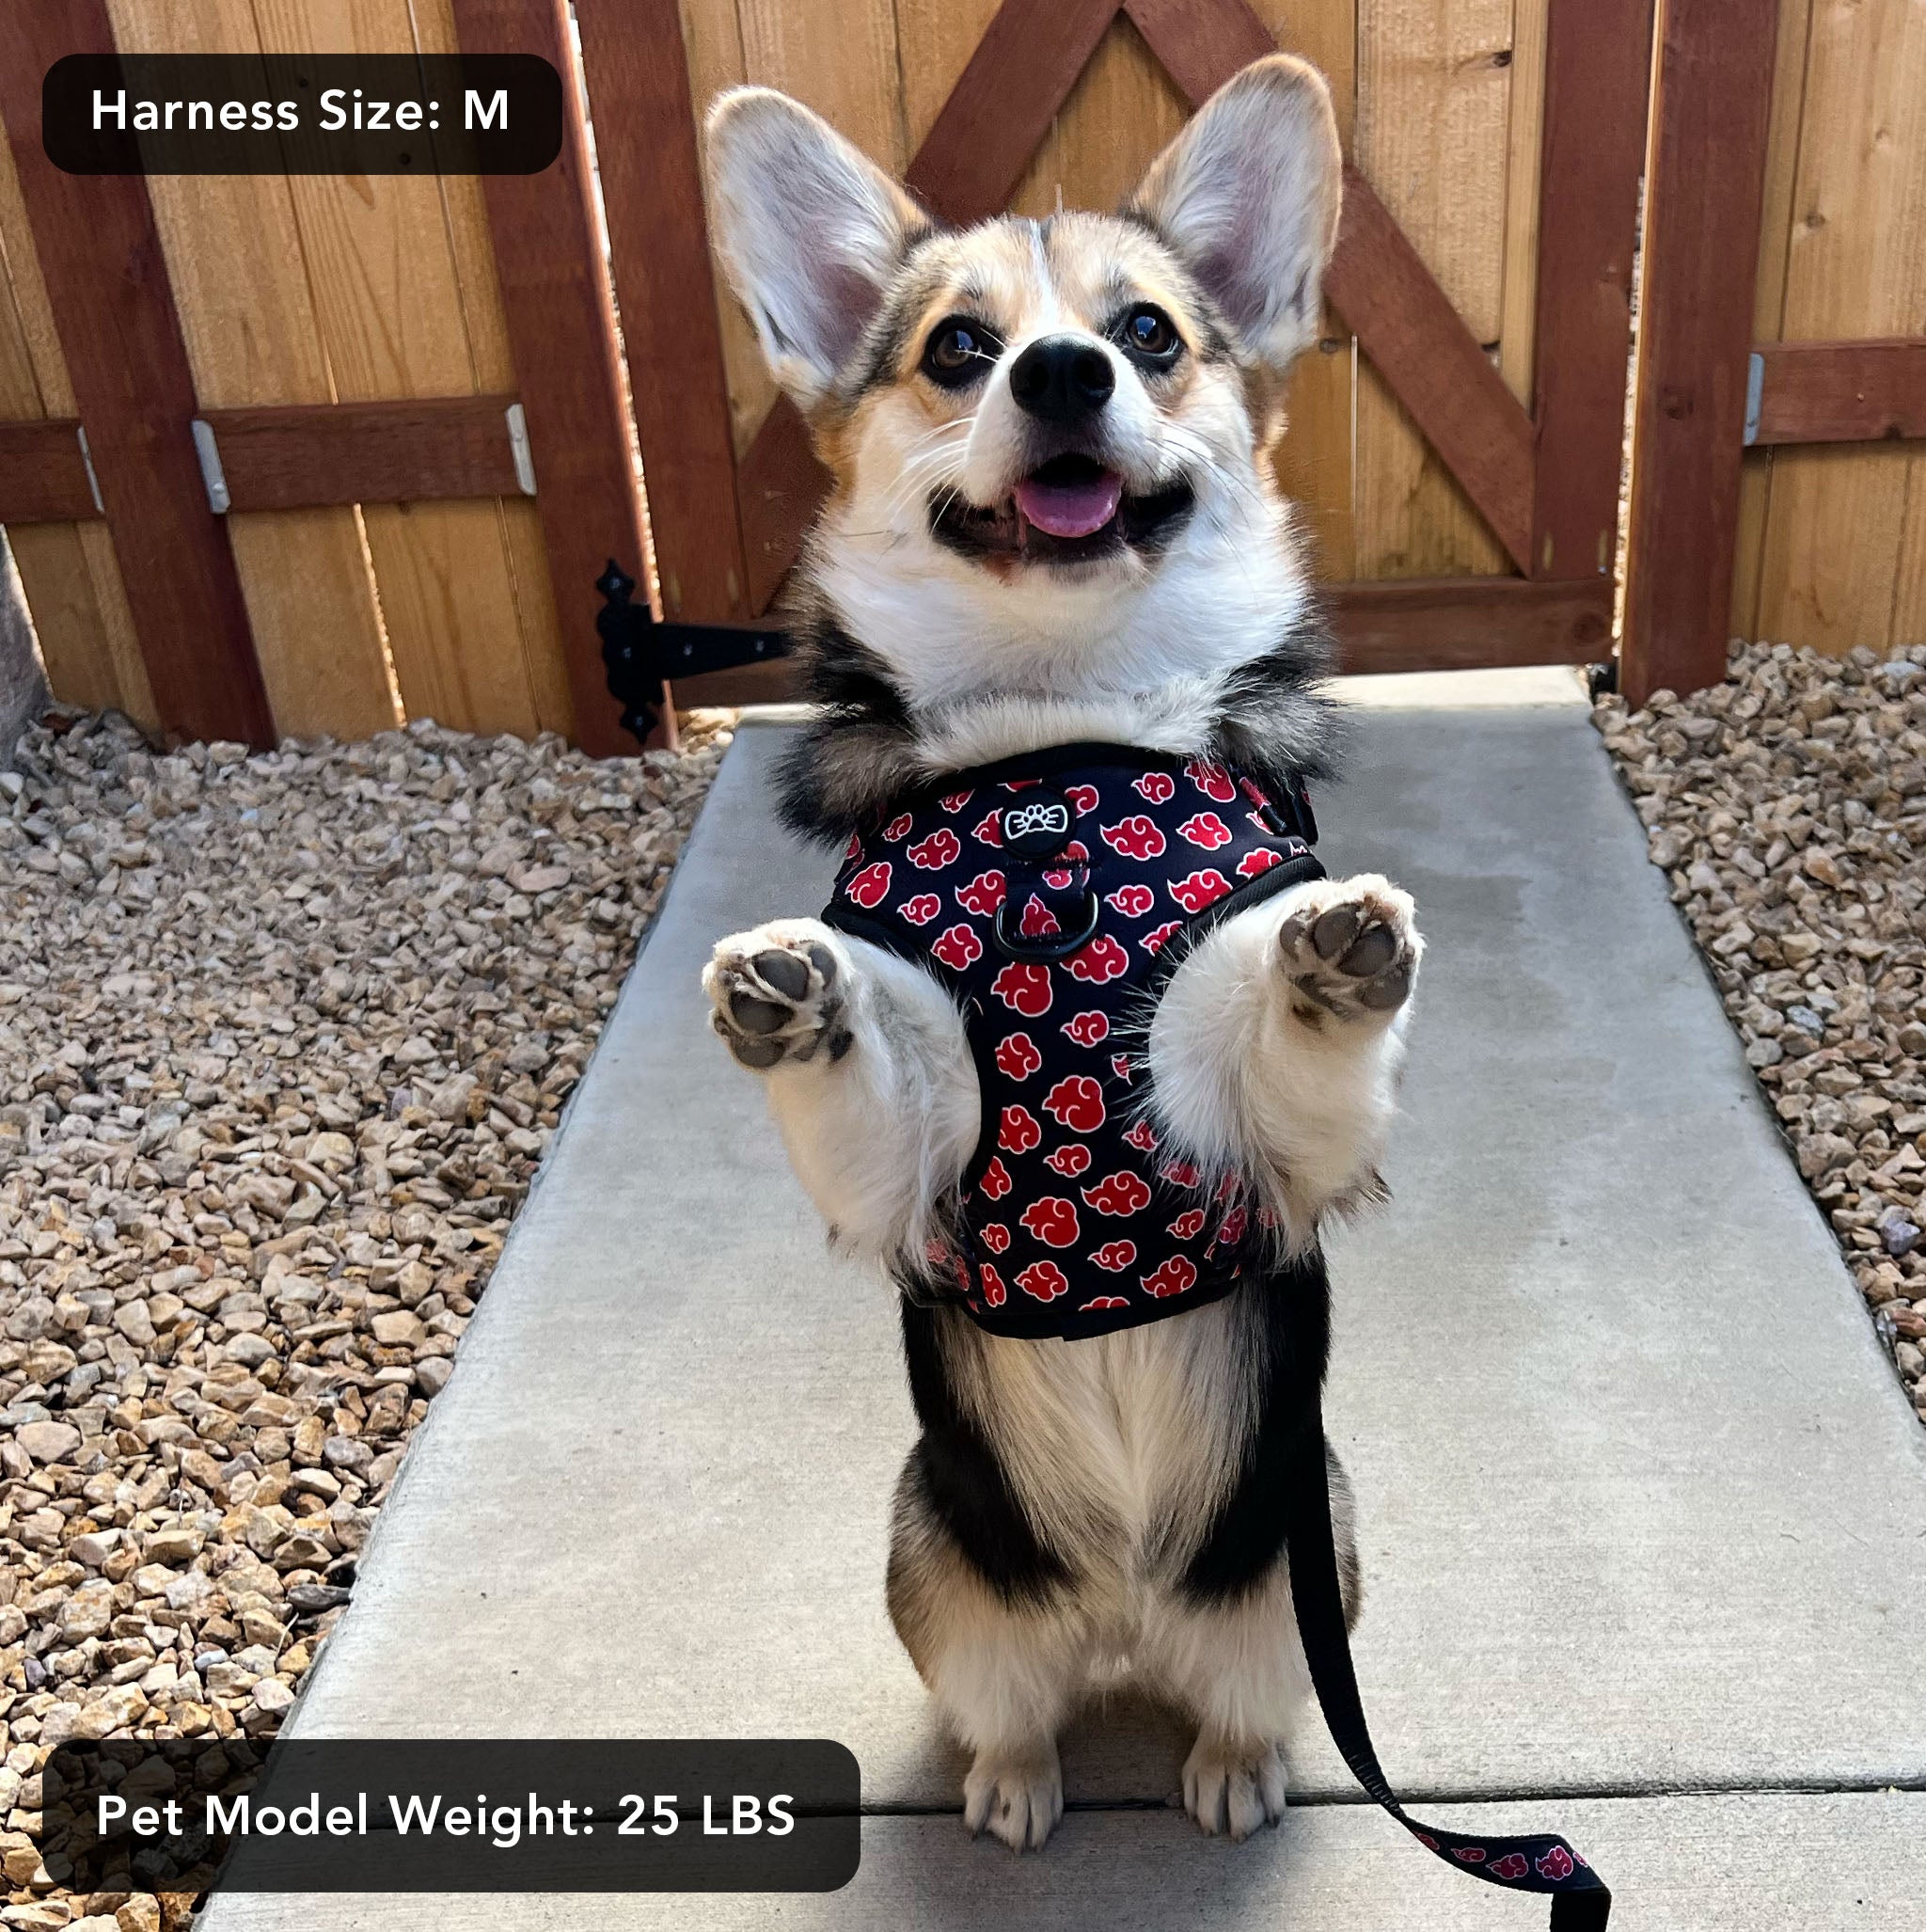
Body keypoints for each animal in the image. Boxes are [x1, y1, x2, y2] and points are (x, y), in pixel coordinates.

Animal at [699, 53, 1421, 1846]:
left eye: (1148, 331)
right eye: (959, 347)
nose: (1062, 369)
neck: (1060, 734)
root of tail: (1118, 1609)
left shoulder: (1263, 1140)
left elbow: (1284, 1038)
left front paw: (1331, 951)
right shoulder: (905, 1163)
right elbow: (866, 1073)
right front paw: (789, 993)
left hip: (1307, 1556)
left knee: (1248, 1695)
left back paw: (1232, 1769)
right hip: (935, 1566)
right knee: (1003, 1705)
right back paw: (1013, 1784)